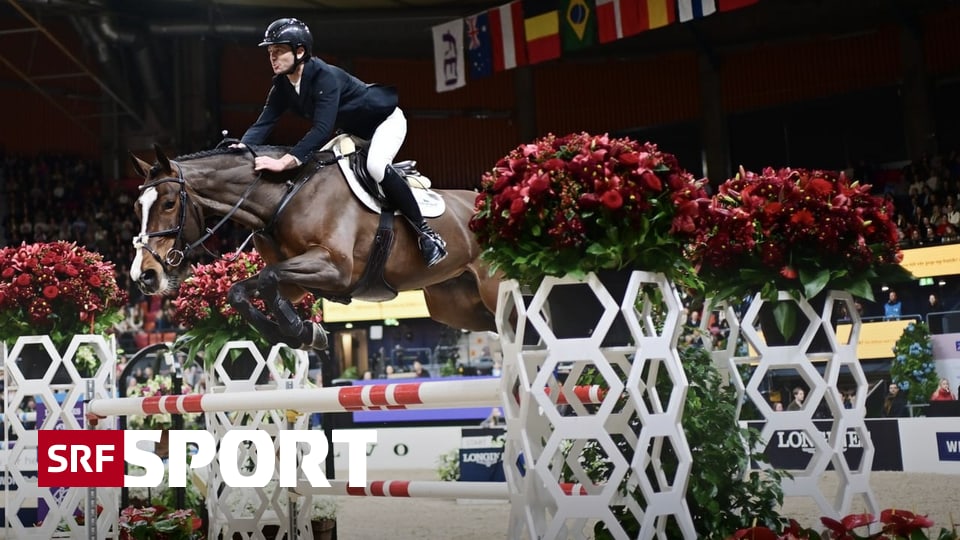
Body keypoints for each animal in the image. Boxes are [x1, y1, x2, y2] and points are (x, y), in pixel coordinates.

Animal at [130, 141, 502, 350]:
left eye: (168, 204)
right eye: (136, 207)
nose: (143, 276)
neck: (281, 198)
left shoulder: (335, 268)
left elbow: (268, 279)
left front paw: (302, 331)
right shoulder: (295, 283)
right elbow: (241, 290)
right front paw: (296, 333)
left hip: (492, 290)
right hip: (455, 304)